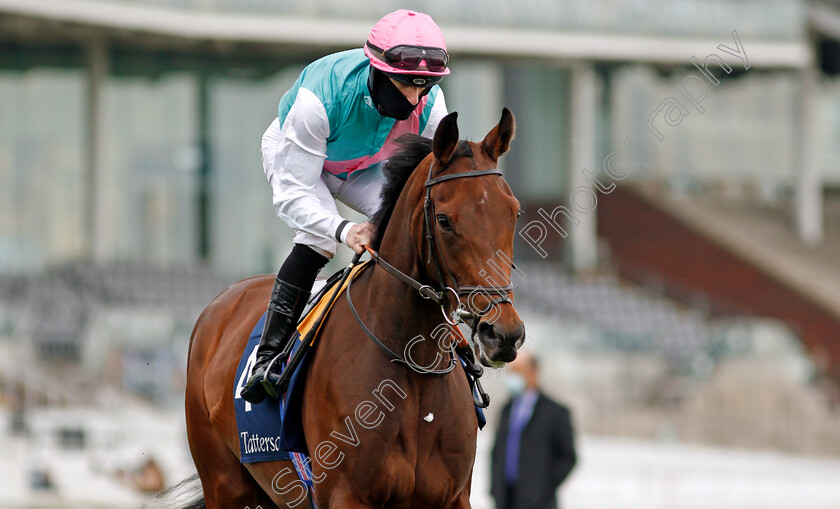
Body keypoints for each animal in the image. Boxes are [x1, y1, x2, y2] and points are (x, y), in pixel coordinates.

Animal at [182, 109, 524, 506]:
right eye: (444, 221)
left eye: (514, 213)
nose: (503, 333)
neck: (413, 368)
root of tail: (224, 300)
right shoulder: (345, 495)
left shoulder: (453, 497)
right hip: (225, 483)